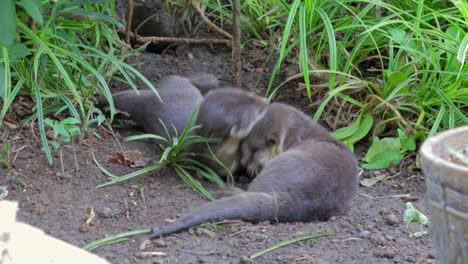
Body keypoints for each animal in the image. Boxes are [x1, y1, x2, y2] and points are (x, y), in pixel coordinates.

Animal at [150, 102, 358, 237]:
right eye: (242, 148)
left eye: (250, 151)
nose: (244, 163)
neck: (300, 135)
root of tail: (296, 198)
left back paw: (225, 191)